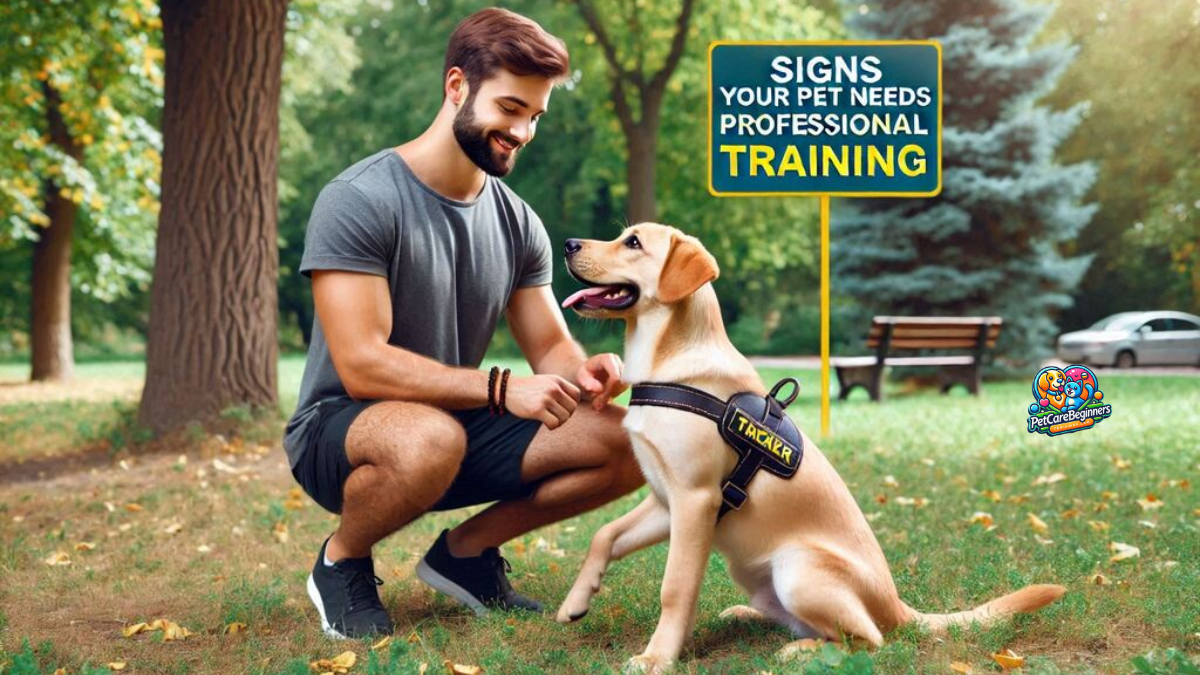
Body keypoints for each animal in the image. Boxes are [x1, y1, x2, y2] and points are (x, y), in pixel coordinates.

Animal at [556, 223, 1065, 667]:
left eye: (633, 242)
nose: (567, 244)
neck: (668, 364)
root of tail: (896, 605)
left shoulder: (695, 501)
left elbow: (674, 589)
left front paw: (657, 658)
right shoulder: (666, 501)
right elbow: (605, 535)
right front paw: (576, 601)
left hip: (797, 569)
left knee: (867, 639)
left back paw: (799, 652)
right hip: (756, 574)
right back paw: (747, 615)